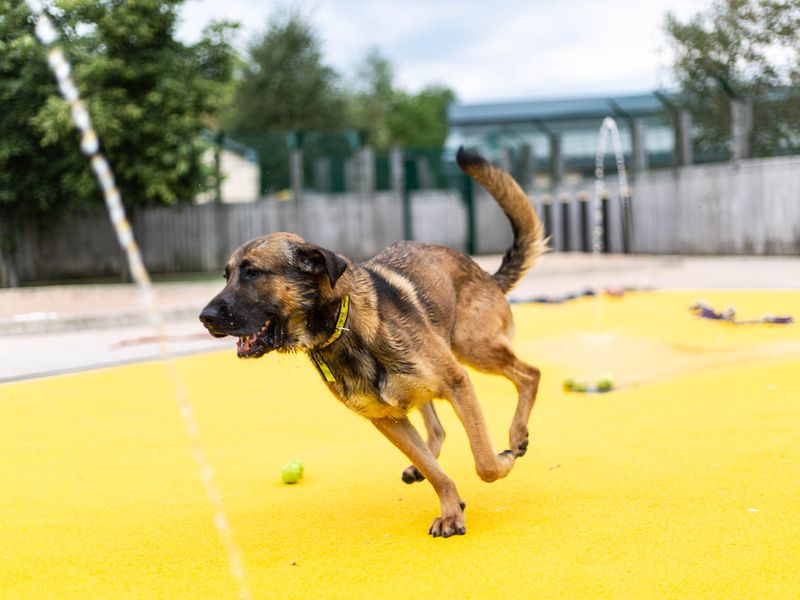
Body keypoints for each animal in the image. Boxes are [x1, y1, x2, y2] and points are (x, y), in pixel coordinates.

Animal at [203, 146, 548, 540]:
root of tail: (484, 273)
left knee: (529, 374)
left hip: (473, 348)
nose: (204, 317)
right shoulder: (387, 419)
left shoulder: (458, 383)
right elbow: (435, 473)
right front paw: (450, 509)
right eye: (227, 275)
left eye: (252, 272)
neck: (342, 329)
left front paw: (502, 461)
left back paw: (517, 436)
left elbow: (485, 462)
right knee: (437, 428)